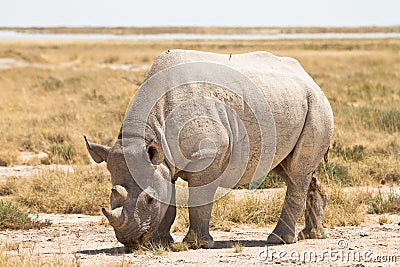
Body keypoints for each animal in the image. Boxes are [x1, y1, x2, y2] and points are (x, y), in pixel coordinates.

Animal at [85, 49, 334, 251]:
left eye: (149, 200)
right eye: (111, 198)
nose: (130, 241)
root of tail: (310, 79)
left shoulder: (207, 155)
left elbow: (200, 198)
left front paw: (196, 244)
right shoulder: (164, 160)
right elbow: (169, 199)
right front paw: (160, 243)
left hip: (317, 105)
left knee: (297, 173)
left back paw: (279, 240)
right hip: (288, 102)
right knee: (288, 168)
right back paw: (312, 235)